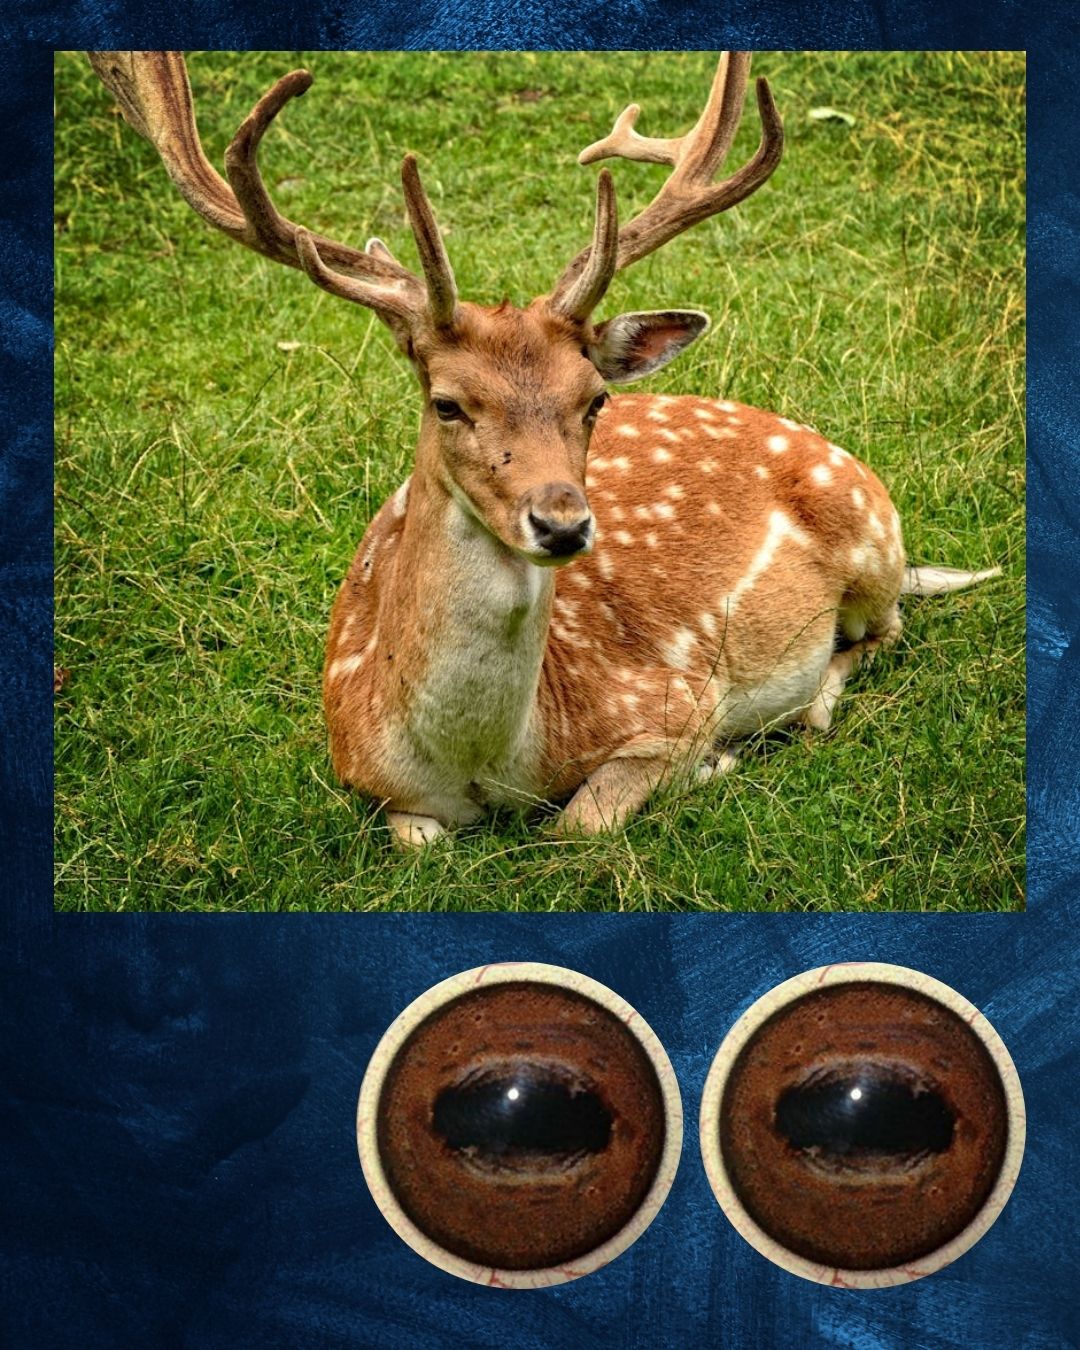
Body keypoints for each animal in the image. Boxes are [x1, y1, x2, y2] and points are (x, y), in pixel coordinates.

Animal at [88, 51, 1000, 848]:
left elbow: (579, 824)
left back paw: (812, 706)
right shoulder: (364, 773)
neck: (490, 762)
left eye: (593, 399)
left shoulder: (674, 699)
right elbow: (420, 842)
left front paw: (713, 766)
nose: (562, 523)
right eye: (447, 402)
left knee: (884, 631)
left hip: (868, 538)